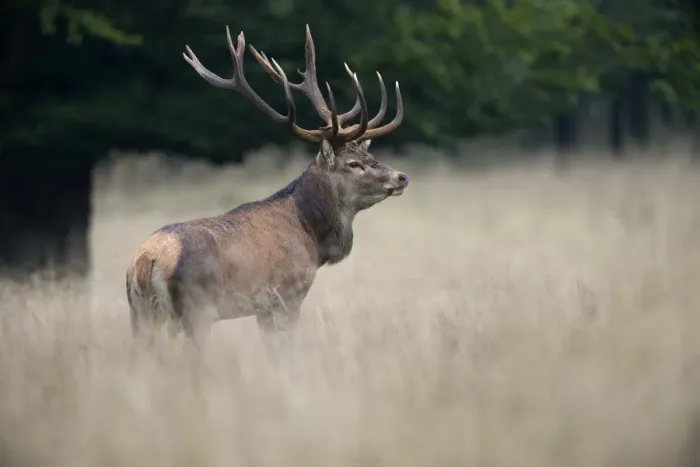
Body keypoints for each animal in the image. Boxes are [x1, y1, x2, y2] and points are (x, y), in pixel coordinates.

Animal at [125, 24, 407, 360]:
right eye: (354, 164)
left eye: (369, 155)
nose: (402, 177)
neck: (311, 236)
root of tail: (147, 260)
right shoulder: (286, 295)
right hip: (197, 308)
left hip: (140, 314)